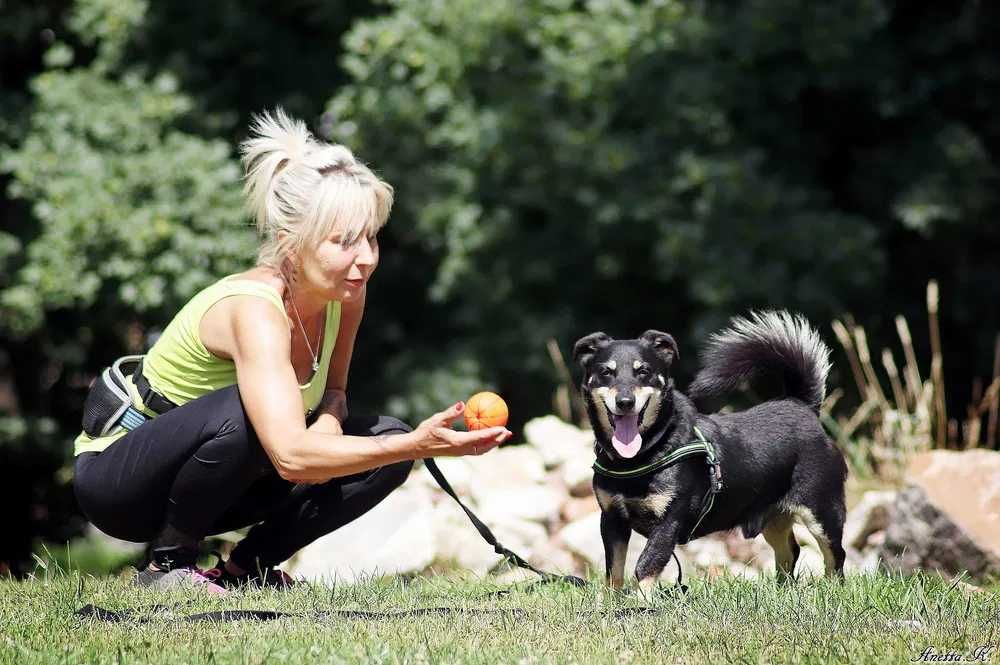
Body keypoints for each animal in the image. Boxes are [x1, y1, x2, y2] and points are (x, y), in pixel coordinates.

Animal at [576, 308, 848, 588]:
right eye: (606, 372)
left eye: (644, 371)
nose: (625, 402)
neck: (642, 455)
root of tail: (802, 406)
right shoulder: (612, 519)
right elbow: (614, 571)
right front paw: (613, 598)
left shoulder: (668, 522)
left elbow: (646, 565)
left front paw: (641, 597)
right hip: (774, 517)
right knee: (790, 551)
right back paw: (782, 590)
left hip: (821, 511)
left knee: (835, 554)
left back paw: (831, 588)